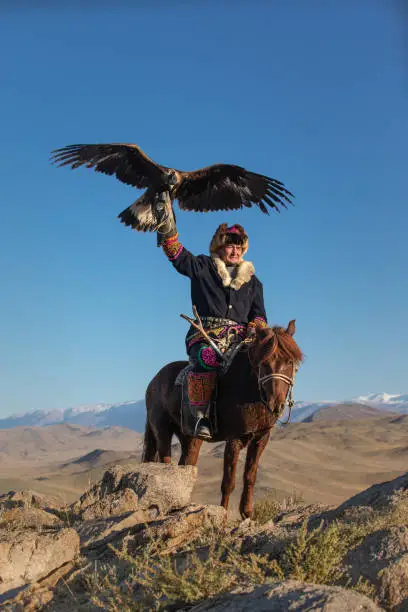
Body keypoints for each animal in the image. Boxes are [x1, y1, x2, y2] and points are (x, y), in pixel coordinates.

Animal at [143, 320, 302, 516]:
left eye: (289, 361)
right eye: (264, 363)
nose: (276, 405)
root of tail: (153, 381)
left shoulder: (261, 438)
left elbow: (250, 476)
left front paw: (247, 514)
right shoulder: (234, 439)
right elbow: (228, 482)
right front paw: (223, 515)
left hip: (189, 438)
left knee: (185, 466)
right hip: (162, 429)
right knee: (165, 463)